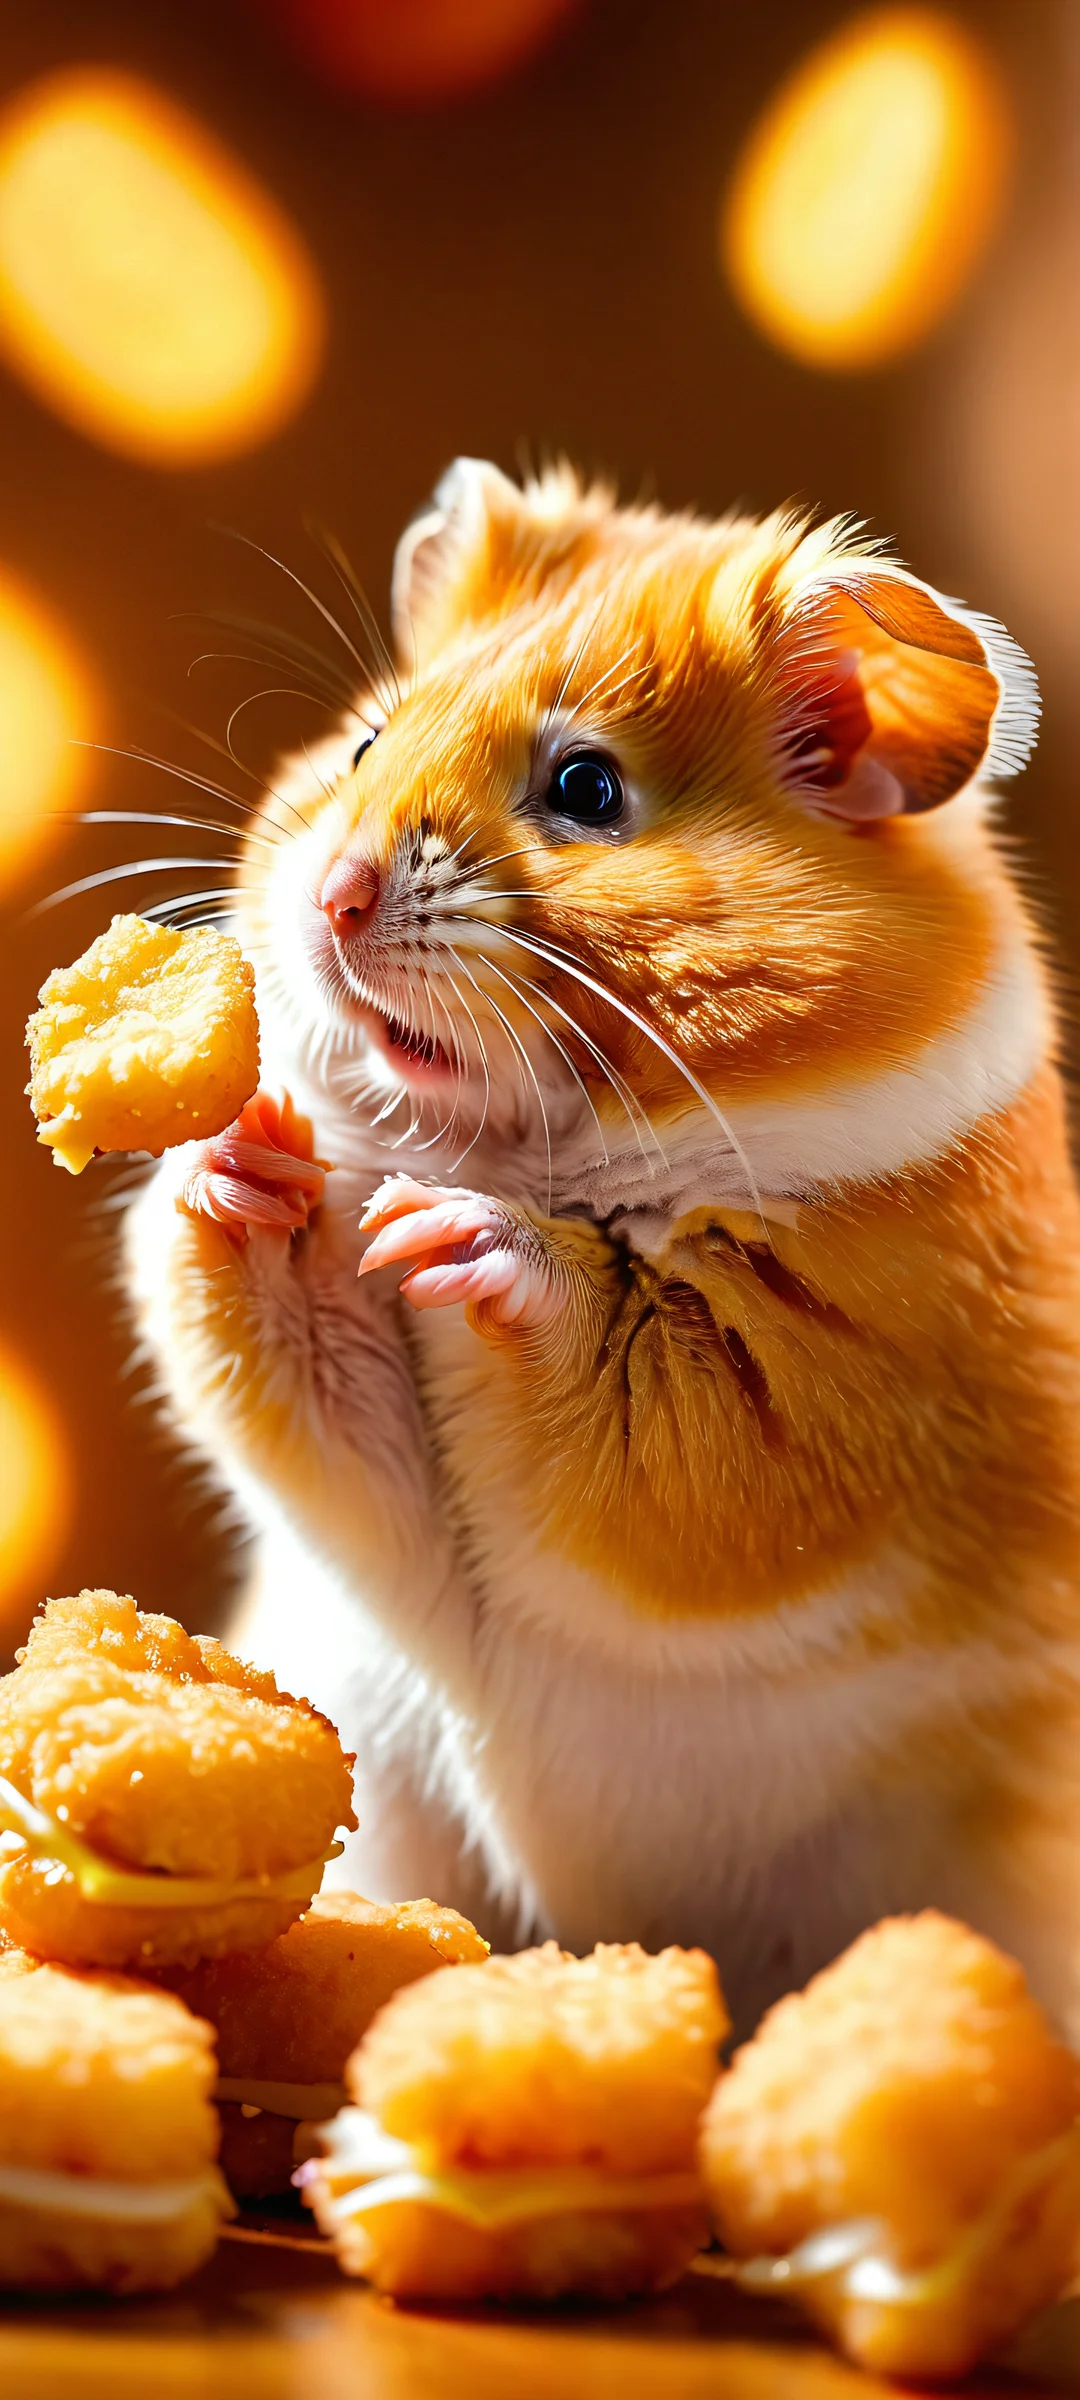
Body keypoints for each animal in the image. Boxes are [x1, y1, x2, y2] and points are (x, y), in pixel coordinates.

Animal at [126, 459, 1080, 2039]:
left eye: (586, 791)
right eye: (368, 738)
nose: (332, 898)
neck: (523, 1144)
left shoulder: (790, 1408)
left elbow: (619, 1389)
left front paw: (444, 1234)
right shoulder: (362, 1499)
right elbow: (294, 1355)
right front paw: (244, 1160)